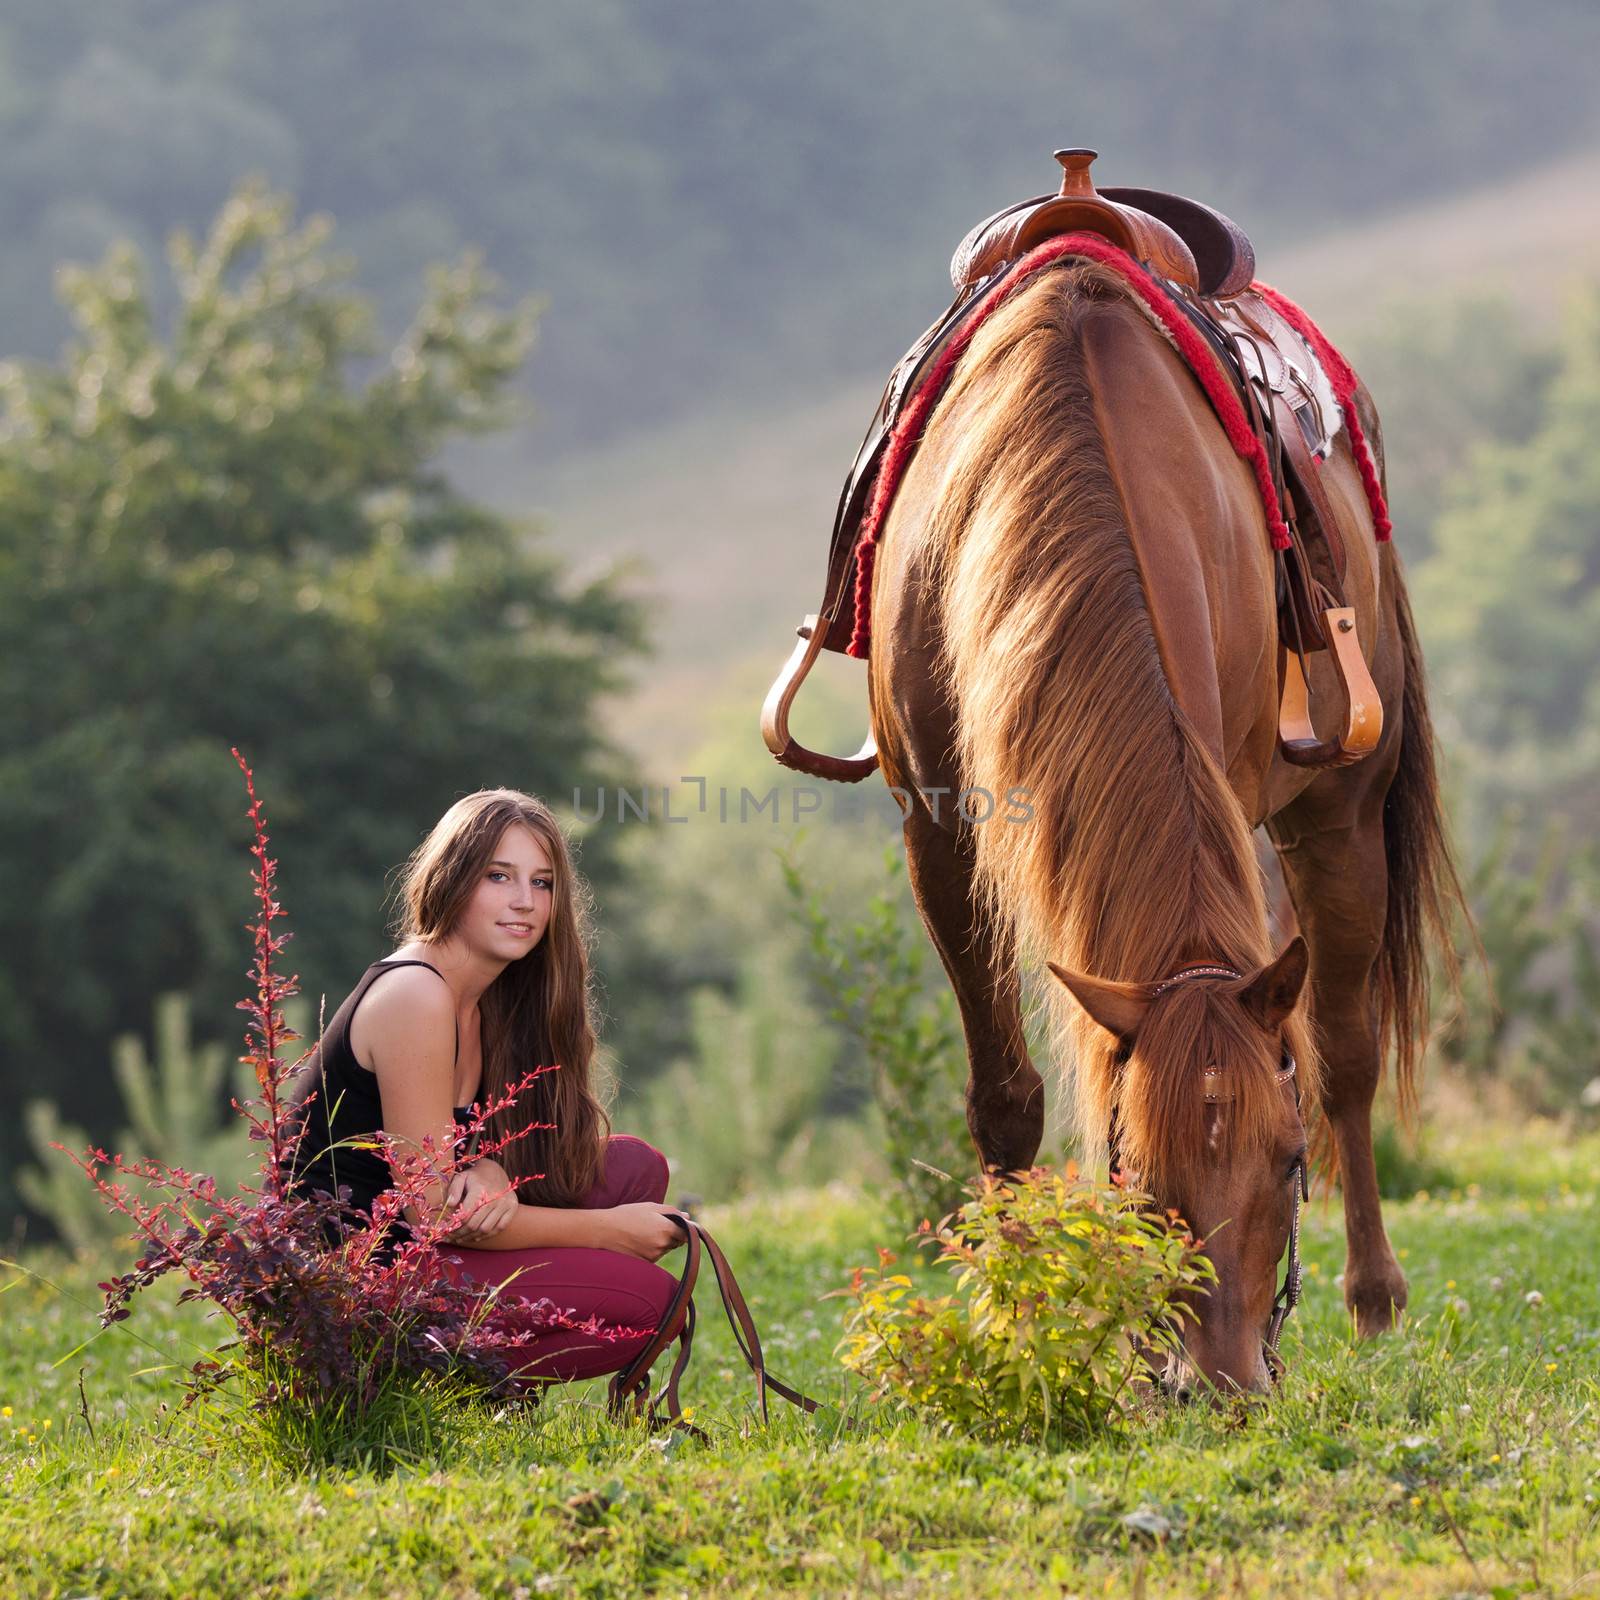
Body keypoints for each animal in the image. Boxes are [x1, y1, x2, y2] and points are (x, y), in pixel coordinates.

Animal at [870, 256, 1459, 1395]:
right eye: (1132, 1175)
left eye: (1287, 1162)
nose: (1220, 1381)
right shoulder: (940, 837)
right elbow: (1004, 1096)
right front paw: (1014, 1308)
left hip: (1339, 816)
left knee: (1344, 1048)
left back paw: (1374, 1295)